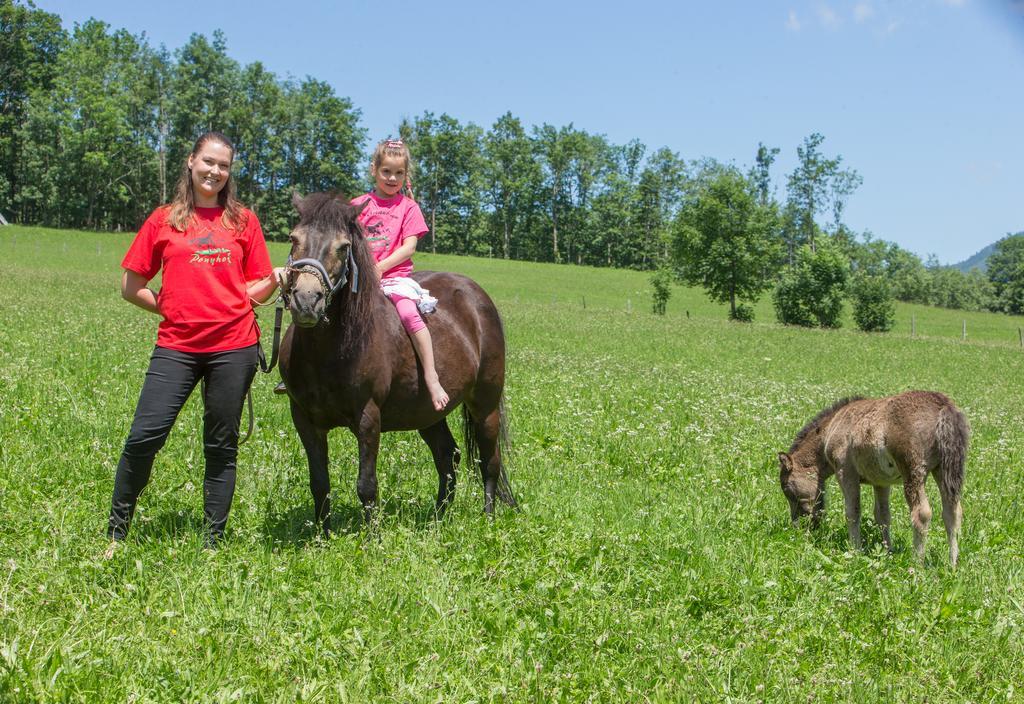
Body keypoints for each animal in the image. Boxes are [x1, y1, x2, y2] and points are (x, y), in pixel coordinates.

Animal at [276, 192, 516, 532]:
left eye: (343, 247)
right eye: (293, 238)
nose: (306, 302)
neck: (328, 351)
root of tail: (477, 296)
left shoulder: (368, 417)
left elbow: (366, 484)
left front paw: (372, 537)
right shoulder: (304, 419)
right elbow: (319, 482)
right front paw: (323, 535)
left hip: (485, 405)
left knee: (489, 459)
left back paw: (488, 518)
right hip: (428, 413)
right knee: (448, 456)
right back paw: (438, 519)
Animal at [774, 390, 966, 564]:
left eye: (788, 490)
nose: (798, 526)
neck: (832, 428)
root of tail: (942, 406)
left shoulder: (845, 473)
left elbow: (853, 512)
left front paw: (855, 550)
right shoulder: (881, 482)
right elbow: (883, 516)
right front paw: (887, 550)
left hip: (913, 472)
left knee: (922, 514)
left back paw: (916, 563)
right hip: (942, 471)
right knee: (952, 512)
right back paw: (952, 564)